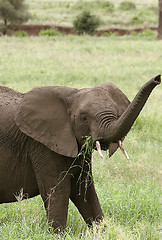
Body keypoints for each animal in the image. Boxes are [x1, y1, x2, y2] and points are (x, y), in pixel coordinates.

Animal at [0, 74, 160, 232]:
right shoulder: (41, 144)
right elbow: (57, 190)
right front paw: (58, 235)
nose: (158, 78)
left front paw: (101, 232)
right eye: (84, 118)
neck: (72, 94)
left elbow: (85, 189)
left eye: (116, 113)